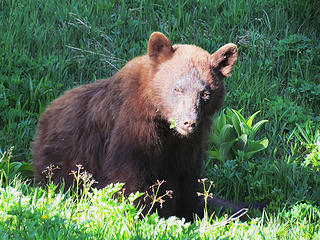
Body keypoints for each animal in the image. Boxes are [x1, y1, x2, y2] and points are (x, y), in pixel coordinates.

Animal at [32, 32, 238, 221]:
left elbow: (188, 177)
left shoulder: (190, 144)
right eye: (177, 89)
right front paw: (138, 213)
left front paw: (192, 212)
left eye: (205, 93)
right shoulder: (133, 128)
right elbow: (127, 175)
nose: (188, 122)